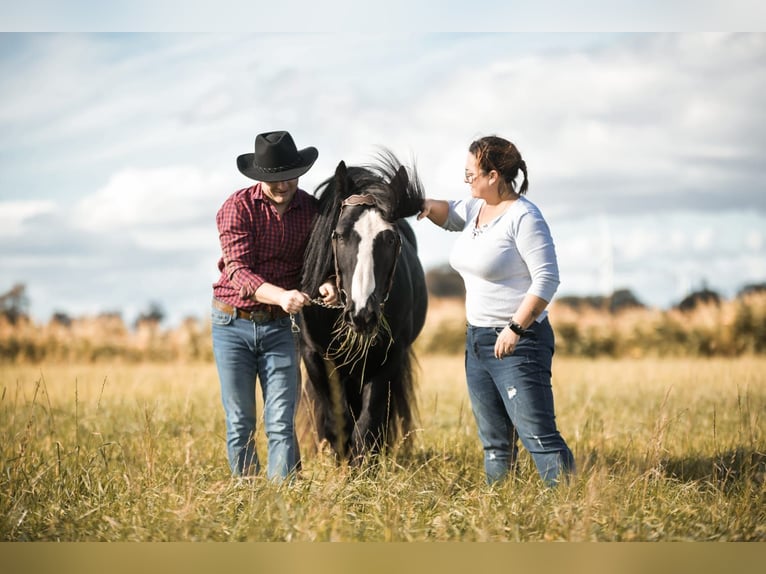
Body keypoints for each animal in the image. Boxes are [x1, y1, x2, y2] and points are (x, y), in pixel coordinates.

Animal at [300, 152, 428, 464]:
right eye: (339, 235)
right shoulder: (315, 358)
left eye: (391, 238)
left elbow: (367, 427)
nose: (362, 315)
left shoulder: (389, 358)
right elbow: (338, 425)